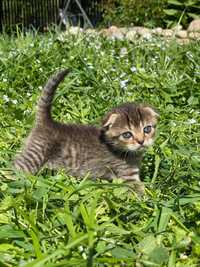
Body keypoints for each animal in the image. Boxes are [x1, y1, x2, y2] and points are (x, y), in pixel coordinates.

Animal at [14, 69, 159, 195]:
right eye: (127, 134)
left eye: (147, 129)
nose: (141, 141)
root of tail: (48, 122)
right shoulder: (126, 175)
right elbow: (138, 191)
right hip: (34, 155)